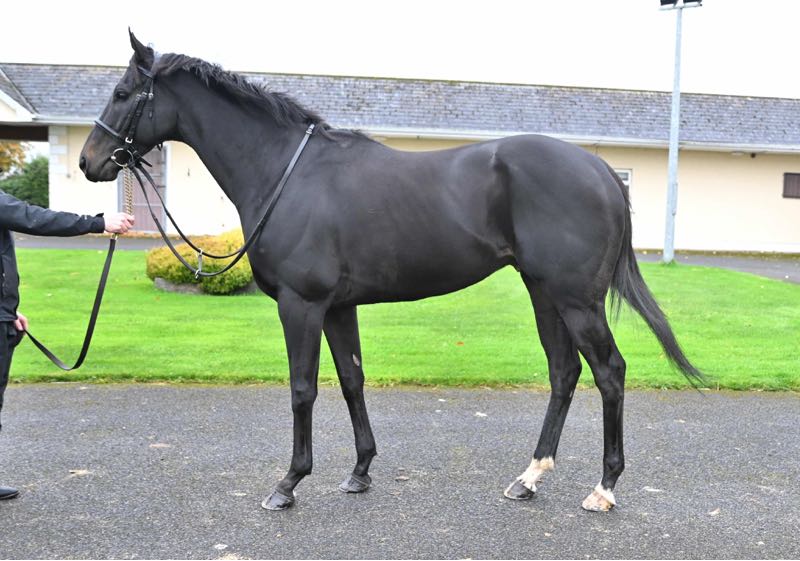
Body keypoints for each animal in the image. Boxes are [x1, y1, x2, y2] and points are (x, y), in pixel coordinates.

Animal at [79, 32, 704, 512]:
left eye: (122, 92)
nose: (89, 162)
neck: (286, 171)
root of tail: (602, 171)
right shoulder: (337, 307)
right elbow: (352, 381)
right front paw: (360, 472)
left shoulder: (302, 305)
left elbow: (303, 389)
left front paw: (288, 483)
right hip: (544, 292)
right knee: (564, 372)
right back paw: (528, 479)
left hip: (576, 299)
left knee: (609, 372)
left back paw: (603, 489)